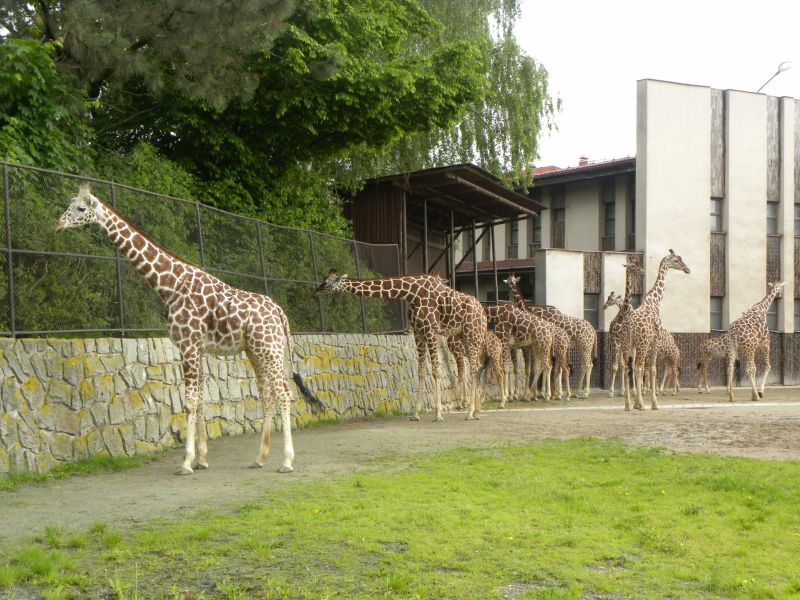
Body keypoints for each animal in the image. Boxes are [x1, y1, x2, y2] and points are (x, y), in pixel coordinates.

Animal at [55, 183, 325, 475]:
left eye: (80, 208)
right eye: (69, 205)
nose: (58, 225)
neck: (171, 286)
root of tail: (280, 313)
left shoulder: (188, 345)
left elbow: (189, 402)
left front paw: (186, 462)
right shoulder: (199, 348)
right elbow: (202, 399)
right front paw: (202, 459)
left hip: (269, 349)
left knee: (284, 393)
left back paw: (286, 462)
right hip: (256, 351)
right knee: (268, 394)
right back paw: (259, 458)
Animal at [313, 271, 487, 420]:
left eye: (326, 282)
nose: (315, 292)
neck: (412, 293)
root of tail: (483, 313)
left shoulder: (431, 331)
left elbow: (436, 371)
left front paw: (438, 414)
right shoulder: (418, 333)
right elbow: (421, 372)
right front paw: (415, 413)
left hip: (472, 337)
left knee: (473, 369)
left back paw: (470, 412)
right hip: (466, 337)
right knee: (477, 367)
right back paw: (477, 411)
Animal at [604, 260, 645, 398]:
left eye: (636, 265)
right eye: (632, 266)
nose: (643, 271)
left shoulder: (631, 343)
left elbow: (632, 365)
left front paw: (634, 391)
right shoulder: (616, 341)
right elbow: (616, 366)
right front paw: (611, 391)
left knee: (628, 364)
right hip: (619, 345)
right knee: (622, 365)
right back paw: (622, 390)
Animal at [619, 250, 690, 411]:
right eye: (676, 260)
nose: (687, 269)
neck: (655, 301)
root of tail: (629, 324)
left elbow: (649, 369)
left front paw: (638, 402)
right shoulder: (655, 339)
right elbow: (652, 369)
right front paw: (653, 403)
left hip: (627, 344)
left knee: (626, 368)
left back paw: (628, 405)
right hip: (641, 343)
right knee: (638, 367)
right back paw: (640, 404)